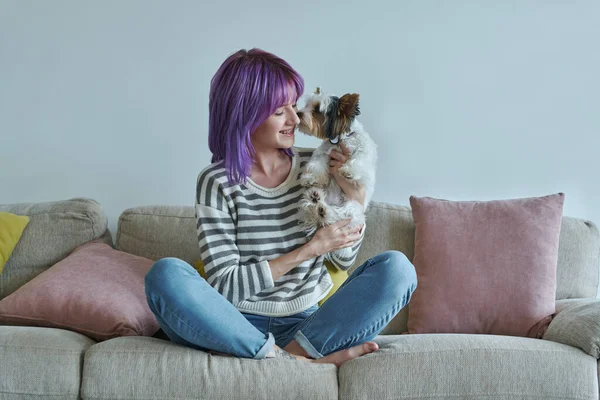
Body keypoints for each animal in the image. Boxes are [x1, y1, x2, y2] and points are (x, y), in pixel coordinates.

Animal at [298, 87, 378, 260]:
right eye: (307, 105)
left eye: (317, 110)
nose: (299, 113)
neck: (342, 139)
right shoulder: (324, 152)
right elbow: (317, 163)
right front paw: (311, 178)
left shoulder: (363, 148)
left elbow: (358, 159)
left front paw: (348, 171)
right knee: (314, 213)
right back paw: (315, 200)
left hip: (352, 208)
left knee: (336, 217)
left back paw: (323, 211)